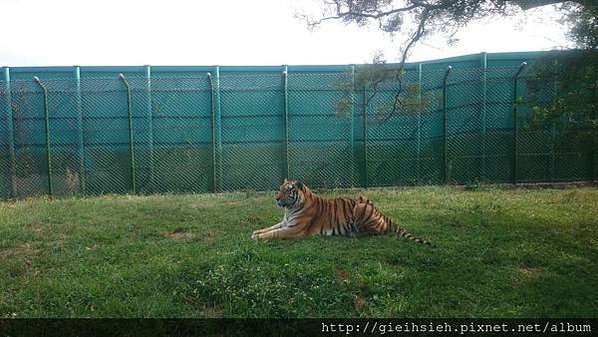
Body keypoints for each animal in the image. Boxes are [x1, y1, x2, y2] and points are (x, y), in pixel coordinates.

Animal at [252, 178, 432, 244]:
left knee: (376, 232)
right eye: (280, 188)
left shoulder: (294, 229)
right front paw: (256, 232)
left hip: (361, 207)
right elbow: (270, 228)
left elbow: (275, 233)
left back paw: (353, 233)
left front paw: (257, 237)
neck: (290, 209)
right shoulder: (285, 222)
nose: (276, 198)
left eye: (287, 190)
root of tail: (382, 213)